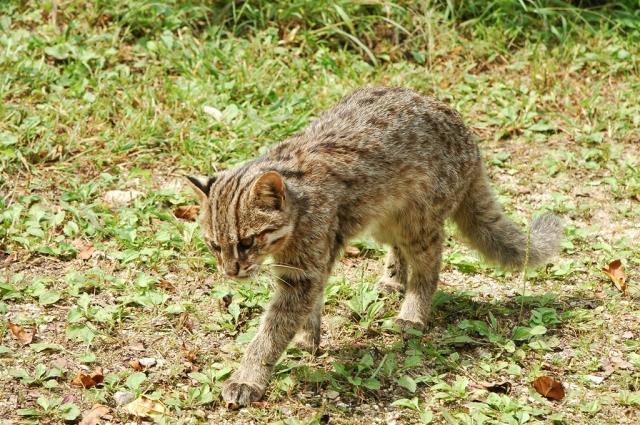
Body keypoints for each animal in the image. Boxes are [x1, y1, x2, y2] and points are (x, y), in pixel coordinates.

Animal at [185, 84, 560, 406]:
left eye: (247, 242)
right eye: (214, 245)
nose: (231, 272)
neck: (297, 207)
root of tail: (468, 134)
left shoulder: (303, 273)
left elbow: (271, 332)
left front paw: (247, 378)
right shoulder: (313, 264)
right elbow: (310, 306)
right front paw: (307, 338)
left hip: (419, 222)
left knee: (429, 267)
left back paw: (412, 313)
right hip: (382, 220)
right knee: (398, 250)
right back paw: (393, 279)